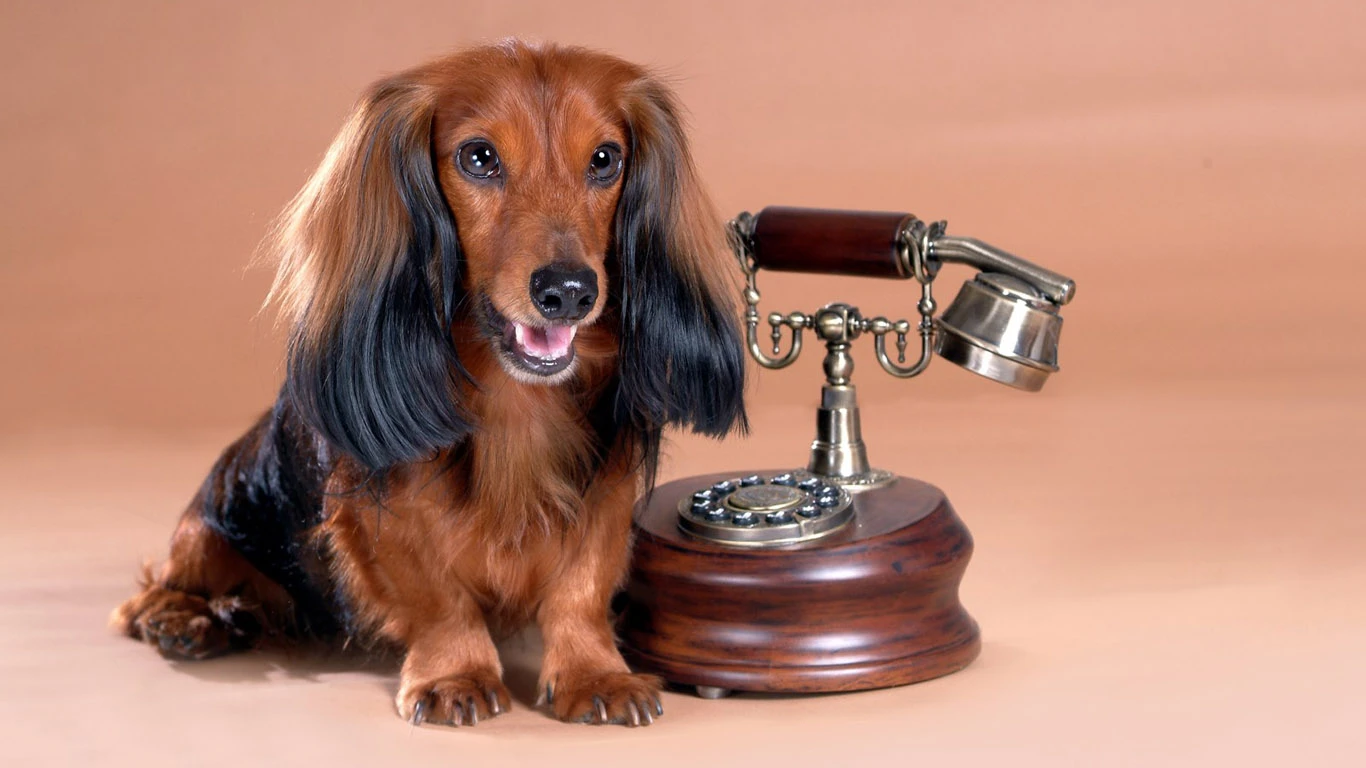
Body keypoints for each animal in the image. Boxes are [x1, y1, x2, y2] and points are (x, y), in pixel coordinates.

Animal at [110, 40, 747, 728]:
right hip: (211, 519)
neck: (517, 400)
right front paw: (455, 673)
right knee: (154, 588)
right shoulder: (376, 515)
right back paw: (187, 618)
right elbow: (438, 598)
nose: (570, 292)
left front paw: (595, 673)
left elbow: (581, 587)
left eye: (605, 160)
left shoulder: (605, 488)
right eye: (479, 157)